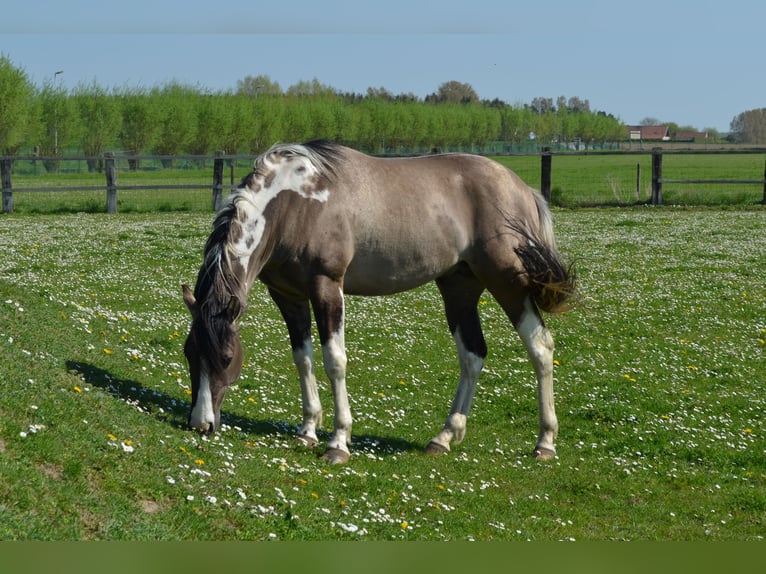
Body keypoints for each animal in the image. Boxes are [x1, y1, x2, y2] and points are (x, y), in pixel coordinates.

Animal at [182, 142, 576, 466]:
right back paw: (445, 437)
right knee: (473, 355)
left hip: (508, 283)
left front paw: (338, 442)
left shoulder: (327, 288)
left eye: (227, 358)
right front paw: (308, 431)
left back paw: (545, 443)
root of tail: (522, 189)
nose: (201, 424)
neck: (296, 203)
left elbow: (334, 361)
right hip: (459, 288)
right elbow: (303, 359)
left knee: (540, 347)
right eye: (189, 352)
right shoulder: (289, 297)